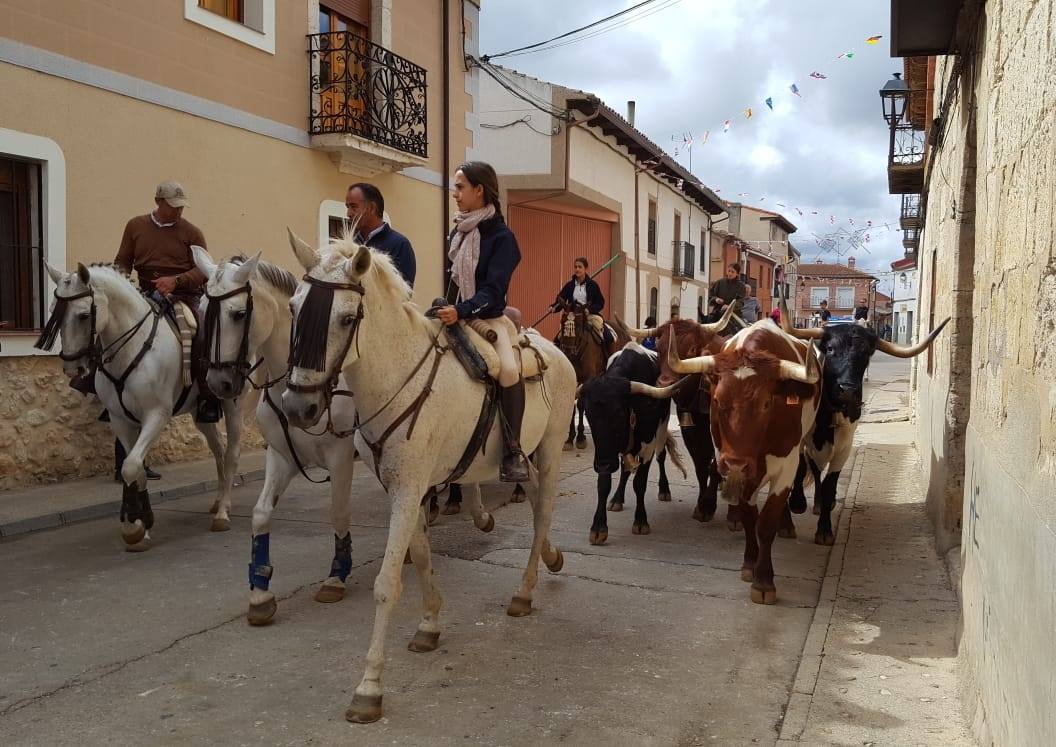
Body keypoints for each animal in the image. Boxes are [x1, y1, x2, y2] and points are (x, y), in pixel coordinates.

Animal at [42, 263, 241, 549]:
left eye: (83, 315)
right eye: (53, 312)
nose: (72, 367)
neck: (132, 349)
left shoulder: (156, 416)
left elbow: (131, 465)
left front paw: (134, 526)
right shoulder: (121, 420)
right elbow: (134, 468)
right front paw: (141, 524)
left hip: (232, 403)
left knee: (232, 453)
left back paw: (223, 512)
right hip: (200, 414)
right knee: (219, 451)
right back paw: (217, 502)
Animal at [280, 230, 578, 722]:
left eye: (347, 317)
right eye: (294, 308)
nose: (297, 407)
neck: (398, 377)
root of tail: (554, 351)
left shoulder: (408, 489)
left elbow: (387, 584)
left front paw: (369, 687)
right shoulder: (405, 489)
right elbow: (420, 558)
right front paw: (429, 624)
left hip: (552, 449)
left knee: (543, 513)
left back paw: (524, 590)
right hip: (527, 455)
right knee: (536, 497)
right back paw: (551, 559)